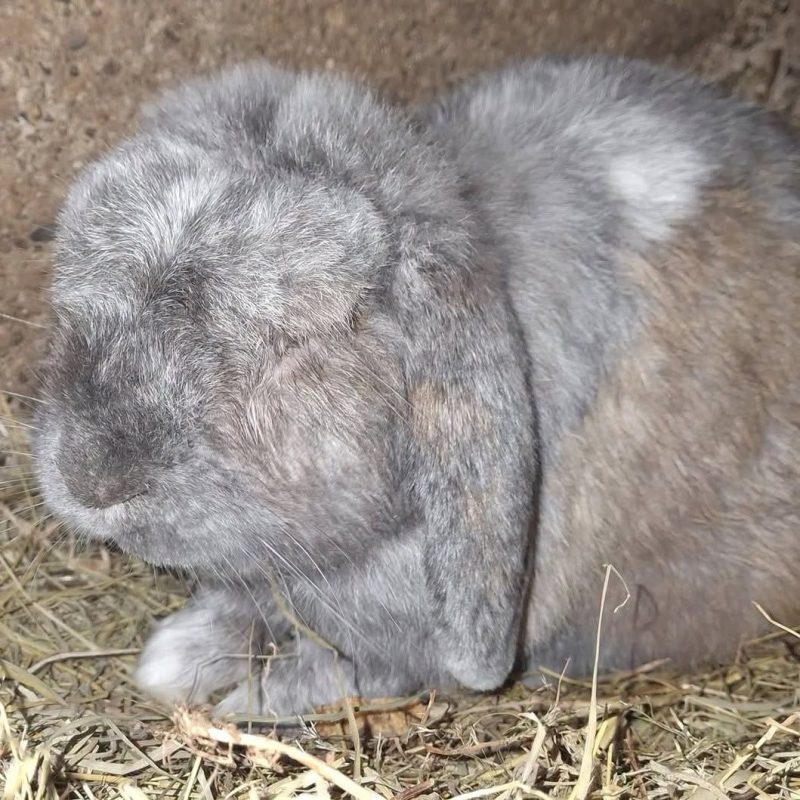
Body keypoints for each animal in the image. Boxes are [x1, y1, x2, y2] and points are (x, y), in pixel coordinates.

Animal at [33, 55, 799, 718]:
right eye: (79, 297)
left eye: (305, 339)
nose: (90, 477)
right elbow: (238, 609)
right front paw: (174, 658)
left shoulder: (403, 644)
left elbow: (347, 671)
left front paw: (252, 703)